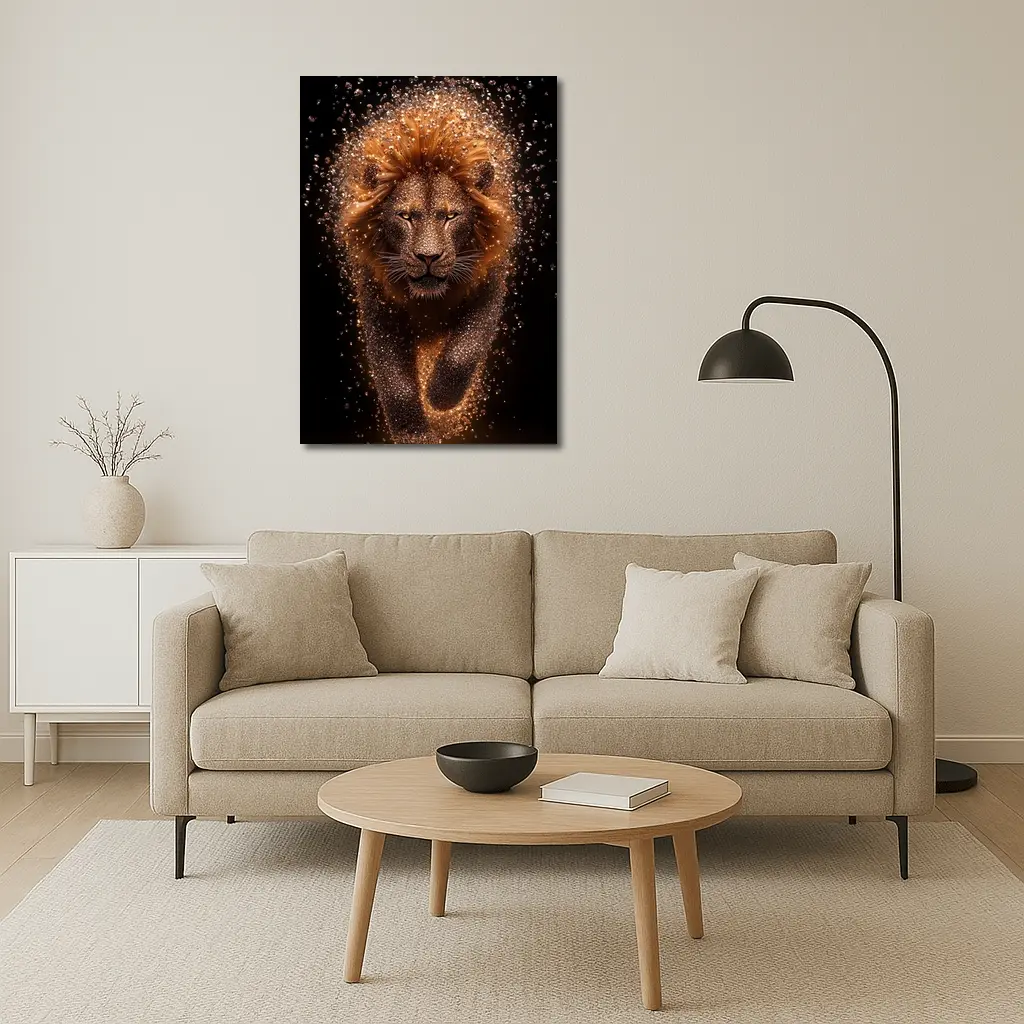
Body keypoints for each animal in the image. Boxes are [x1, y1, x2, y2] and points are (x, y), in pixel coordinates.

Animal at [335, 87, 518, 443]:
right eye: (406, 216)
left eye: (451, 216)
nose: (428, 257)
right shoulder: (379, 305)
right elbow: (396, 382)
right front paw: (414, 434)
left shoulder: (488, 286)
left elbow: (464, 351)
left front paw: (441, 399)